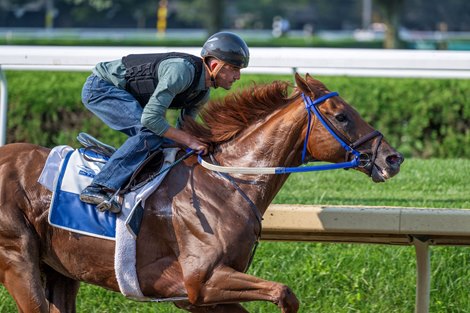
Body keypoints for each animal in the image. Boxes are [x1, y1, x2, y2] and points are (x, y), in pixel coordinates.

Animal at [0, 72, 404, 310]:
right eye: (342, 116)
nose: (392, 158)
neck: (228, 184)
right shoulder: (200, 283)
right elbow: (284, 293)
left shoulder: (199, 297)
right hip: (18, 259)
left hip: (61, 270)